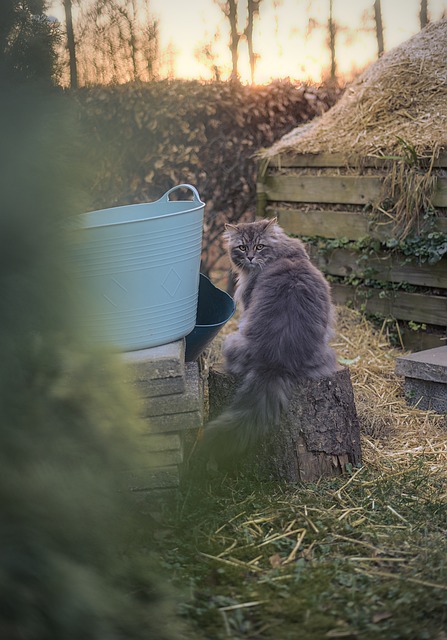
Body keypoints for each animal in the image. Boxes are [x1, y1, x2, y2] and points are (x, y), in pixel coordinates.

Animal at [201, 219, 338, 460]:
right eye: (242, 247)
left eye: (259, 246)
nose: (250, 258)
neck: (283, 256)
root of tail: (275, 362)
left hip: (232, 340)